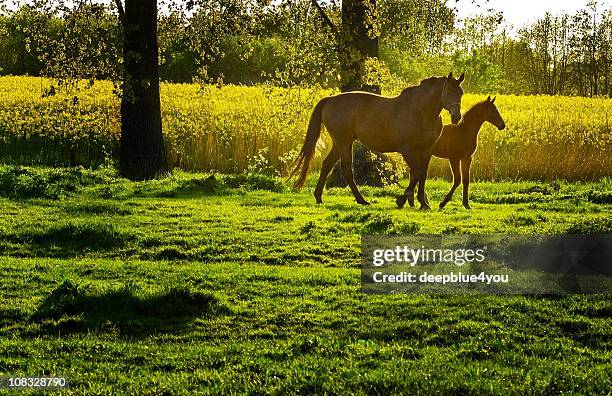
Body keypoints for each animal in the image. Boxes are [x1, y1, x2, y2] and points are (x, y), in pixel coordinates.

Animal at [290, 72, 464, 207]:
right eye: (448, 92)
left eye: (461, 92)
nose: (457, 117)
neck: (420, 111)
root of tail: (330, 100)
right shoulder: (406, 149)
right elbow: (417, 173)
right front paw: (403, 200)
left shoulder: (426, 150)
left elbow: (422, 174)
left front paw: (422, 202)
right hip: (344, 142)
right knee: (346, 169)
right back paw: (361, 200)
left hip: (340, 143)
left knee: (327, 164)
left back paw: (319, 197)